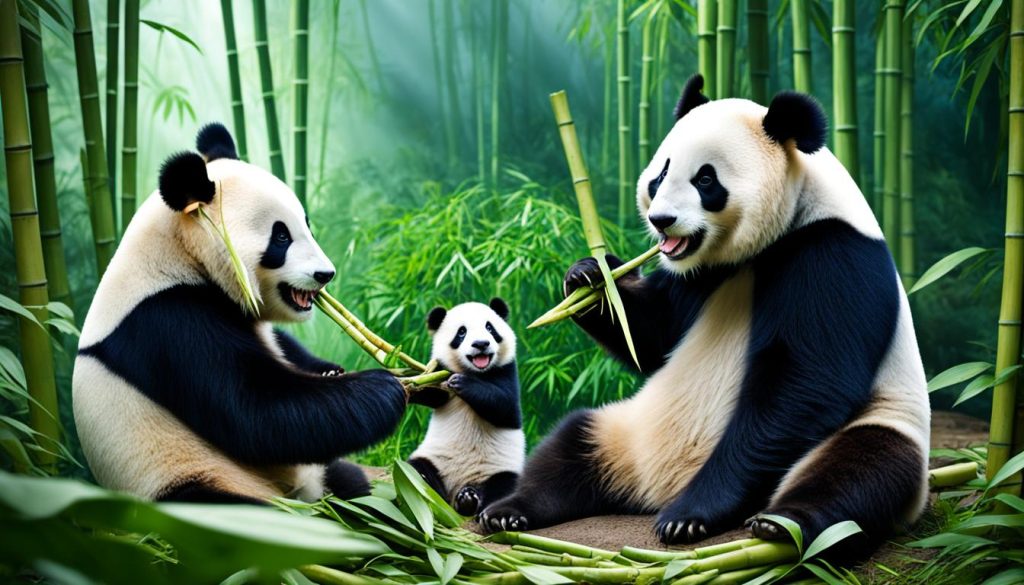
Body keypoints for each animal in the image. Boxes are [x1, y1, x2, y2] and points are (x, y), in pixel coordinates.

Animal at [73, 123, 407, 504]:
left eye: (307, 225)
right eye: (281, 236)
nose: (325, 274)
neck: (179, 252)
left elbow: (282, 348)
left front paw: (331, 370)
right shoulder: (167, 320)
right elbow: (256, 409)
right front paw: (386, 387)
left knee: (348, 481)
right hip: (189, 477)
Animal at [407, 299, 524, 516]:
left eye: (489, 327)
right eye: (461, 332)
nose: (481, 344)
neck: (477, 372)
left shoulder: (507, 370)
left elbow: (507, 408)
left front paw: (463, 383)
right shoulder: (439, 376)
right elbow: (426, 390)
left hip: (498, 470)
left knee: (505, 484)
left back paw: (470, 500)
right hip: (434, 461)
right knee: (416, 469)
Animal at [480, 75, 930, 558]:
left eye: (706, 179)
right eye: (660, 174)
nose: (661, 220)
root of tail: (653, 490)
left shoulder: (832, 252)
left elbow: (804, 381)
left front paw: (692, 513)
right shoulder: (700, 271)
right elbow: (654, 337)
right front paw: (588, 278)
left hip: (880, 422)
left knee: (859, 472)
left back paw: (777, 523)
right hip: (623, 430)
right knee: (568, 444)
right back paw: (509, 509)